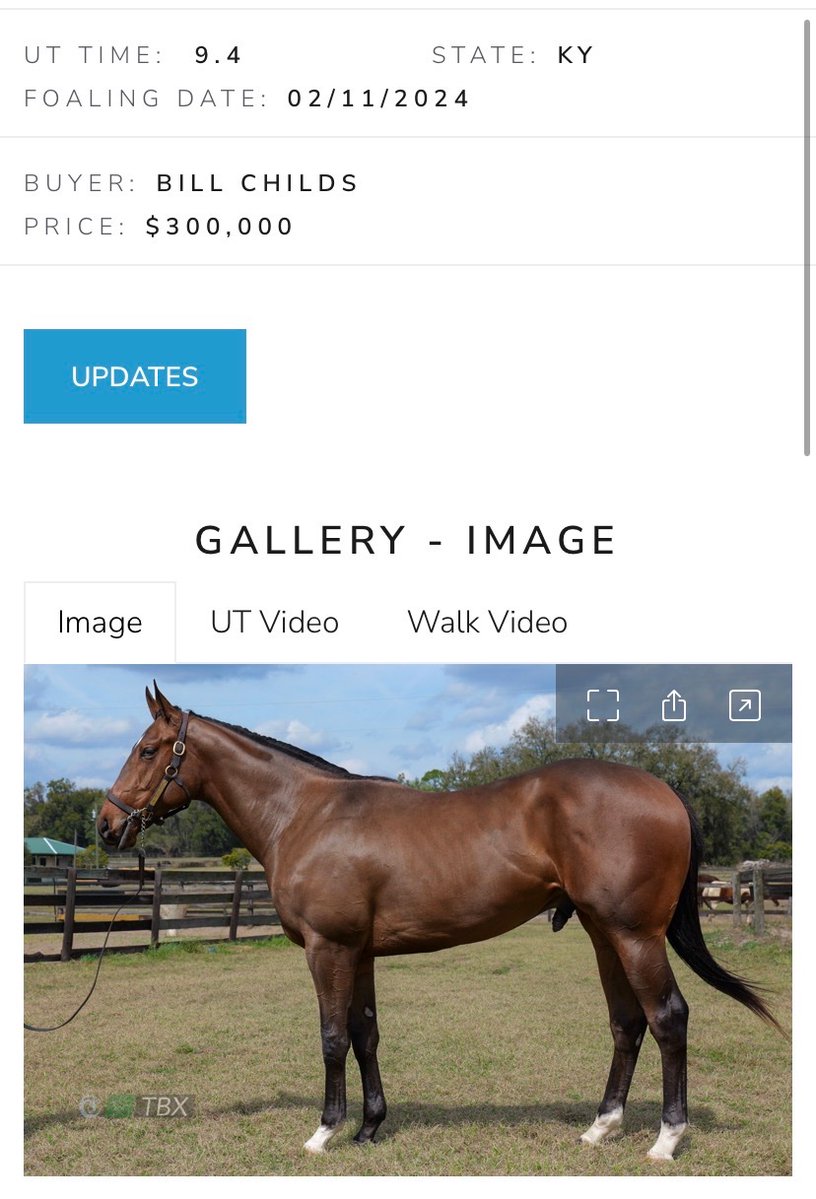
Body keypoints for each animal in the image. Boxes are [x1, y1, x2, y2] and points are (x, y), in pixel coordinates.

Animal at [98, 685, 781, 1163]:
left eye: (149, 750)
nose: (106, 825)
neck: (306, 814)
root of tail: (663, 789)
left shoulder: (328, 948)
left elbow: (332, 1037)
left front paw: (325, 1131)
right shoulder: (359, 952)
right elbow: (365, 1033)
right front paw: (370, 1126)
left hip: (635, 935)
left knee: (668, 1018)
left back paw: (666, 1140)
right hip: (602, 932)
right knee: (627, 1022)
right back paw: (601, 1127)